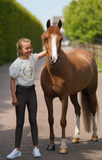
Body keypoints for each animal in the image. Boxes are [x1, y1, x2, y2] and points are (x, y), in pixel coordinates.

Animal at [40, 19, 99, 154]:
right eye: (46, 38)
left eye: (61, 39)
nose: (54, 59)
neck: (54, 73)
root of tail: (89, 55)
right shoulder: (47, 97)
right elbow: (51, 119)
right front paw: (51, 145)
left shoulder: (63, 97)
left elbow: (62, 121)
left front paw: (63, 147)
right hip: (73, 94)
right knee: (78, 109)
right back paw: (75, 137)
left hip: (91, 91)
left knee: (93, 109)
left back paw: (94, 136)